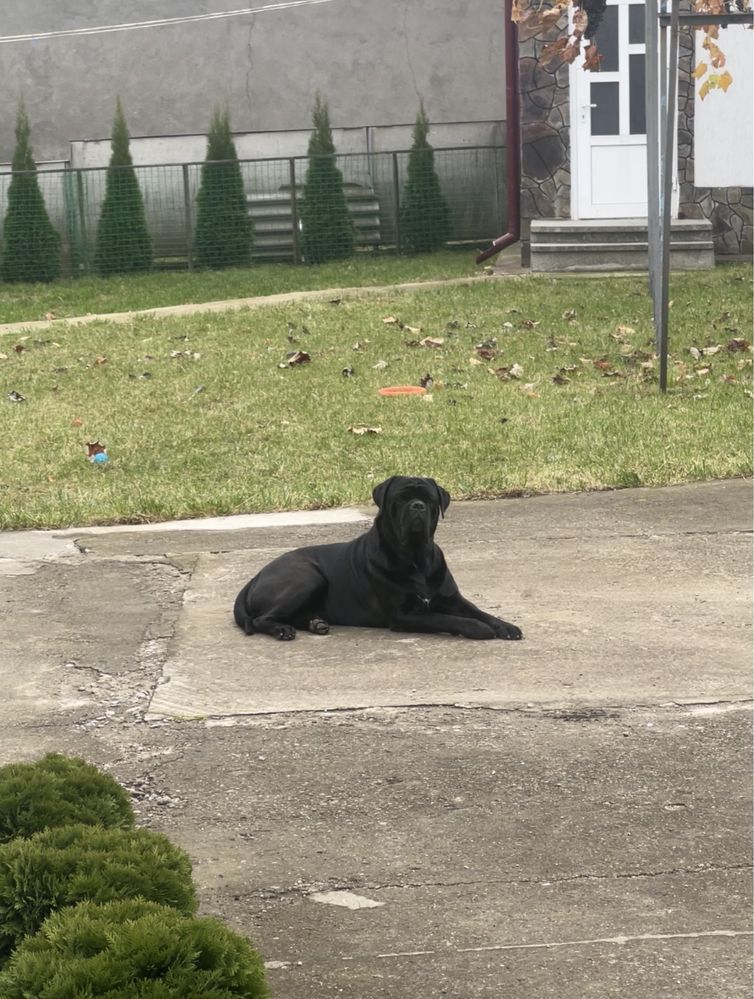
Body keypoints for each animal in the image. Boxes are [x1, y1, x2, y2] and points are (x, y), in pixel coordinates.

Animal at [232, 474, 520, 640]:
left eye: (429, 499)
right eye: (401, 498)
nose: (417, 506)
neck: (416, 558)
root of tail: (258, 574)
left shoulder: (452, 599)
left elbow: (478, 611)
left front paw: (504, 626)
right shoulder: (404, 616)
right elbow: (447, 619)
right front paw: (479, 629)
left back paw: (316, 624)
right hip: (306, 577)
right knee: (261, 619)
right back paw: (282, 630)